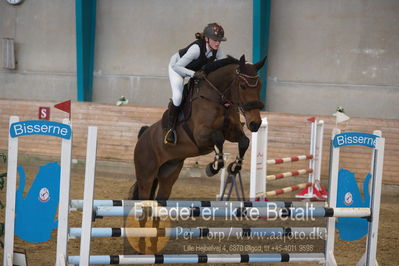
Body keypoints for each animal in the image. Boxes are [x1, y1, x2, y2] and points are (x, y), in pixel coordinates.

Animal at [130, 55, 266, 202]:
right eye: (242, 86)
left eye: (260, 86)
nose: (255, 123)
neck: (217, 98)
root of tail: (142, 136)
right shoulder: (200, 136)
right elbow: (218, 137)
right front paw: (213, 167)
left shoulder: (231, 132)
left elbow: (244, 141)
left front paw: (235, 166)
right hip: (146, 176)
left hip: (169, 173)